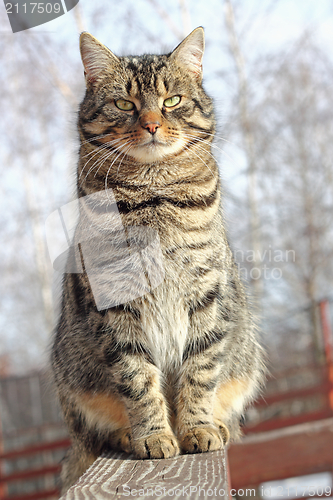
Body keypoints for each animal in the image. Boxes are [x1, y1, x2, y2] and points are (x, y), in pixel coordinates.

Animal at [51, 27, 264, 492]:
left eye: (171, 101)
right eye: (124, 104)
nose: (150, 124)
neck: (154, 194)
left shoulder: (205, 293)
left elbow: (199, 370)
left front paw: (197, 428)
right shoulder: (116, 307)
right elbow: (138, 379)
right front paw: (153, 436)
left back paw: (218, 425)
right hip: (74, 387)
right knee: (97, 430)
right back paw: (127, 435)